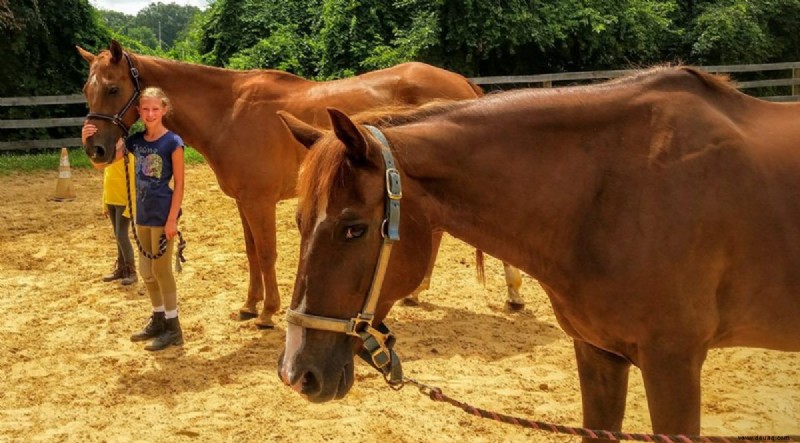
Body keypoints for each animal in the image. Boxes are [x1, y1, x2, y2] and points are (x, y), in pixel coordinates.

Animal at [76, 40, 524, 328]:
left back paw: (513, 294)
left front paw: (267, 313)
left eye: (113, 87)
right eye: (86, 88)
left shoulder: (260, 202)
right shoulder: (243, 202)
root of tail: (463, 83)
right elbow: (251, 254)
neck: (229, 111)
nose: (95, 148)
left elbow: (268, 254)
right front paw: (250, 305)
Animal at [278, 67, 800, 438]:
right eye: (299, 222)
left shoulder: (674, 364)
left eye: (354, 229)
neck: (617, 191)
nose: (295, 372)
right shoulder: (598, 354)